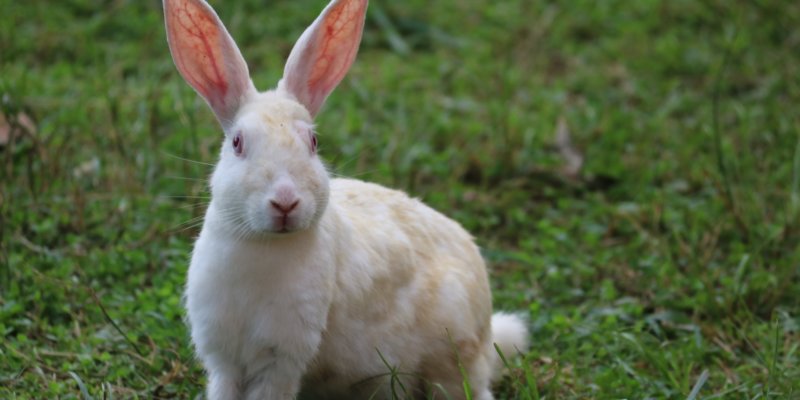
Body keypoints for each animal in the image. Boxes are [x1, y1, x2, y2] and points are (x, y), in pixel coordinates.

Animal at [162, 0, 529, 399]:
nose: (285, 203)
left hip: (451, 356)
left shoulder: (281, 358)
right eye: (237, 143)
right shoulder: (224, 359)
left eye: (313, 143)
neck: (263, 245)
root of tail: (488, 331)